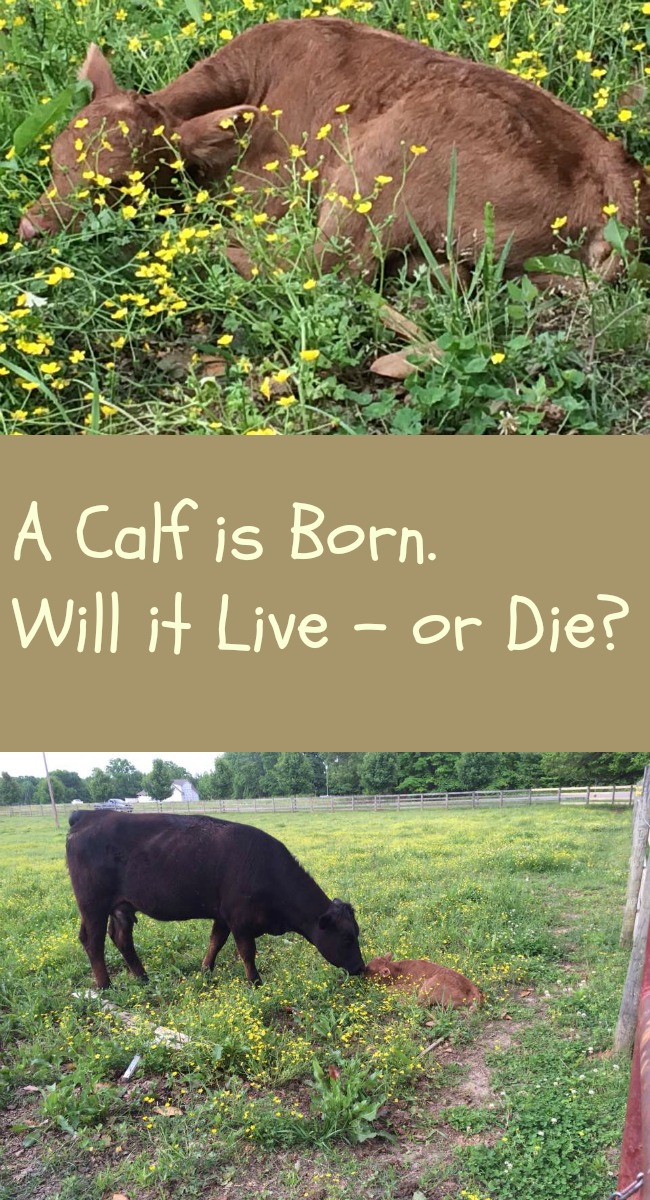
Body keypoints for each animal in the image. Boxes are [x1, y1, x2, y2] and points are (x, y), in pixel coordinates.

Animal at [18, 18, 650, 286]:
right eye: (55, 162)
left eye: (120, 186)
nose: (29, 226)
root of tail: (616, 172)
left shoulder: (268, 191)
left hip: (376, 169)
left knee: (321, 265)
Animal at [65, 809, 364, 988]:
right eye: (347, 938)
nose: (361, 968)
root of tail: (91, 814)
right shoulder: (239, 919)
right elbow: (247, 952)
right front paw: (255, 982)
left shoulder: (222, 916)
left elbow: (215, 942)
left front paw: (206, 970)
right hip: (92, 904)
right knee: (93, 942)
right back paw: (105, 985)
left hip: (121, 907)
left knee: (121, 938)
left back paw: (143, 977)